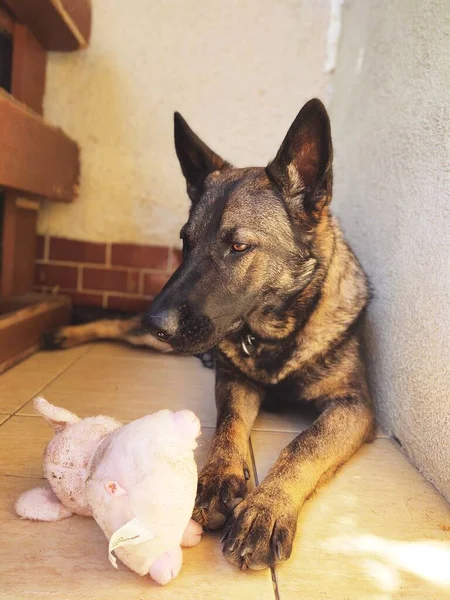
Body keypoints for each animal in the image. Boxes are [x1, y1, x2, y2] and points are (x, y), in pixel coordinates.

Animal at [43, 101, 372, 576]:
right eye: (186, 241)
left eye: (238, 247)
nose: (157, 322)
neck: (276, 334)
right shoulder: (233, 381)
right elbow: (230, 424)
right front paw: (218, 479)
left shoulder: (353, 406)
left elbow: (303, 446)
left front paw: (266, 508)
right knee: (116, 325)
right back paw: (64, 332)